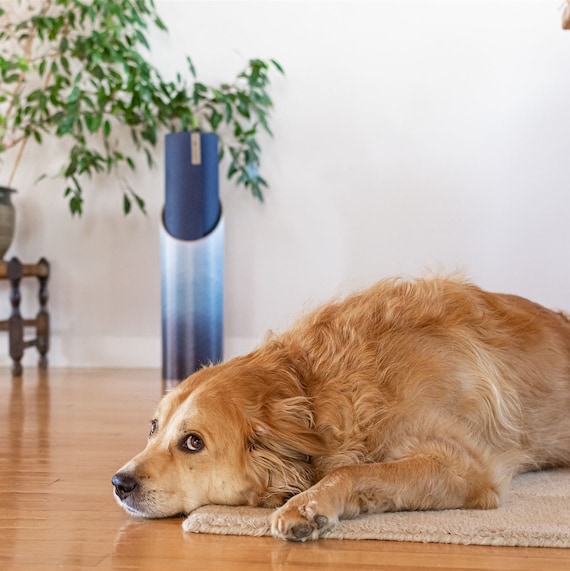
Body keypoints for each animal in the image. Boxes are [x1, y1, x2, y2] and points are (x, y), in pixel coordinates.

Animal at [110, 280, 568, 544]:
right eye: (154, 427)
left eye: (193, 442)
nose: (119, 483)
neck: (315, 387)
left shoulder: (466, 467)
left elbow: (352, 470)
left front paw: (307, 507)